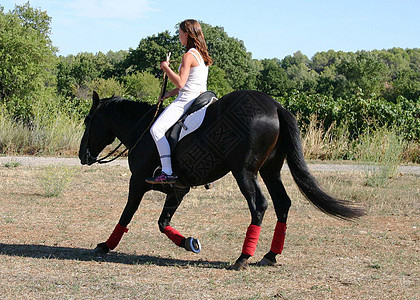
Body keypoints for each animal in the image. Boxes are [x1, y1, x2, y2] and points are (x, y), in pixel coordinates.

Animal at [79, 89, 364, 270]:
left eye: (87, 120)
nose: (83, 155)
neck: (142, 129)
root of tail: (276, 106)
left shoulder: (137, 181)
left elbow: (126, 215)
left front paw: (106, 245)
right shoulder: (178, 189)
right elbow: (163, 222)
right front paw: (188, 243)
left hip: (244, 172)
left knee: (259, 205)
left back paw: (243, 257)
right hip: (270, 170)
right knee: (282, 203)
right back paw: (270, 255)